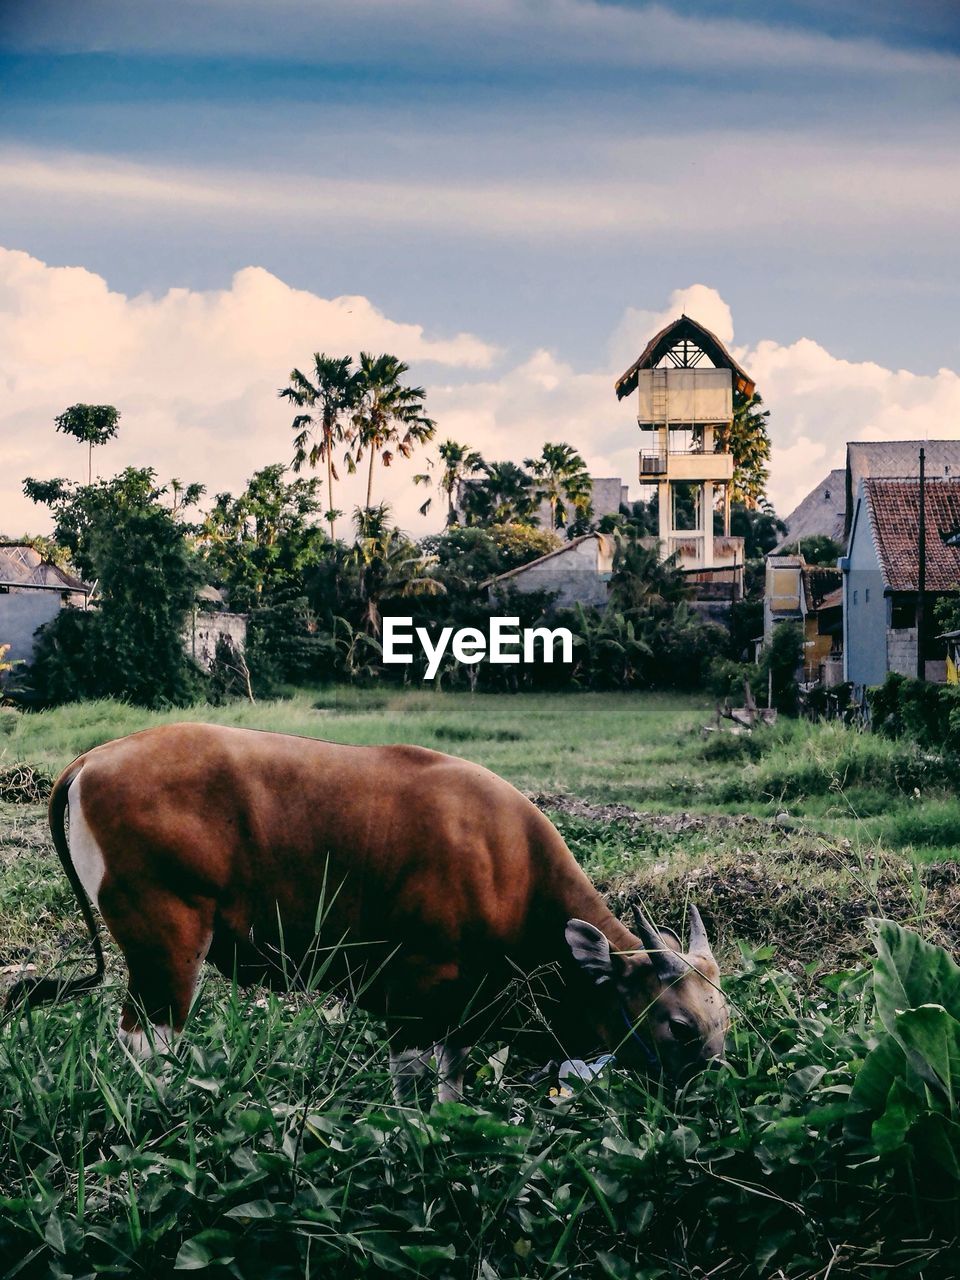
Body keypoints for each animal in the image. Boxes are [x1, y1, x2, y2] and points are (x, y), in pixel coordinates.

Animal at [11, 727, 727, 1095]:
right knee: (148, 1042)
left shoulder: (460, 1009)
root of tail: (97, 756)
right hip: (167, 947)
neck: (508, 868)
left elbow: (452, 1082)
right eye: (680, 1026)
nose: (716, 1085)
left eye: (724, 1019)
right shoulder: (411, 997)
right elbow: (411, 1088)